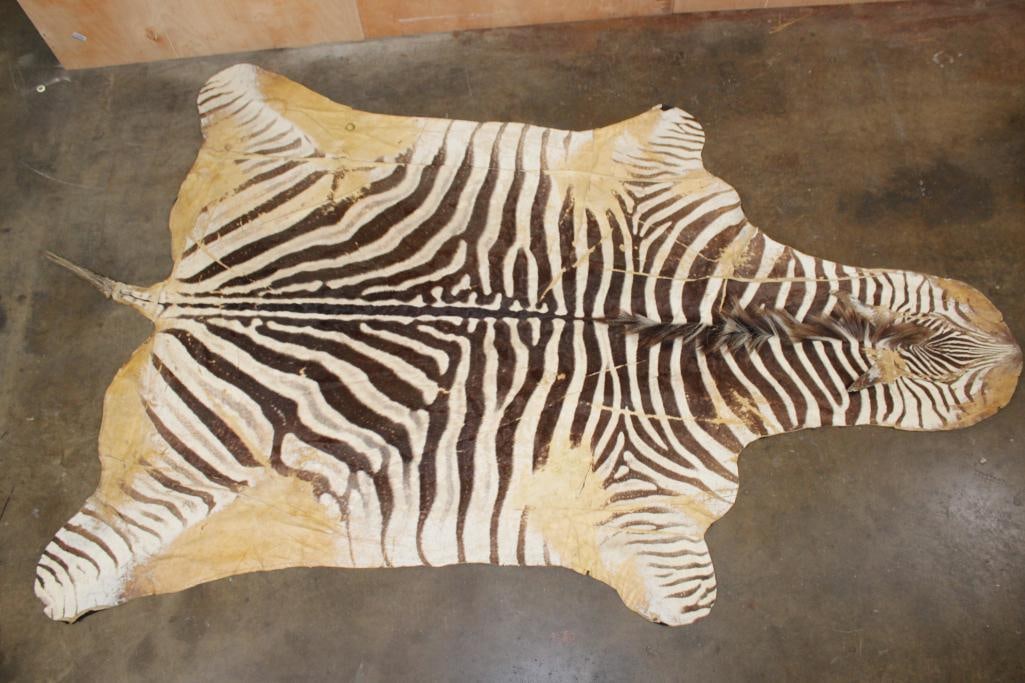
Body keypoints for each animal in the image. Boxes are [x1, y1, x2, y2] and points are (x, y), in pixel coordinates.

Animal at [36, 64, 1021, 626]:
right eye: (972, 387)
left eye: (981, 326)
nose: (1014, 349)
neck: (732, 328)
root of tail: (183, 291)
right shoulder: (645, 507)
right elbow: (682, 600)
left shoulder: (657, 160)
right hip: (194, 480)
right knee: (72, 571)